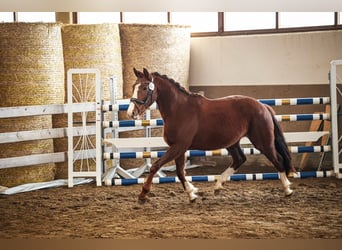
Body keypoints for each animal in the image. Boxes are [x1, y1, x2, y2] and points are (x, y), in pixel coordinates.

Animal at [127, 68, 296, 203]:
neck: (179, 109)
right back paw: (218, 185)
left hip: (263, 142)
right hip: (232, 142)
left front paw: (143, 194)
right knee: (240, 159)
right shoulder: (179, 148)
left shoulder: (179, 146)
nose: (131, 113)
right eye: (134, 86)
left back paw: (287, 189)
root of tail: (263, 106)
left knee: (278, 160)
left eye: (144, 87)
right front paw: (192, 194)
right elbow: (180, 172)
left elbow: (155, 166)